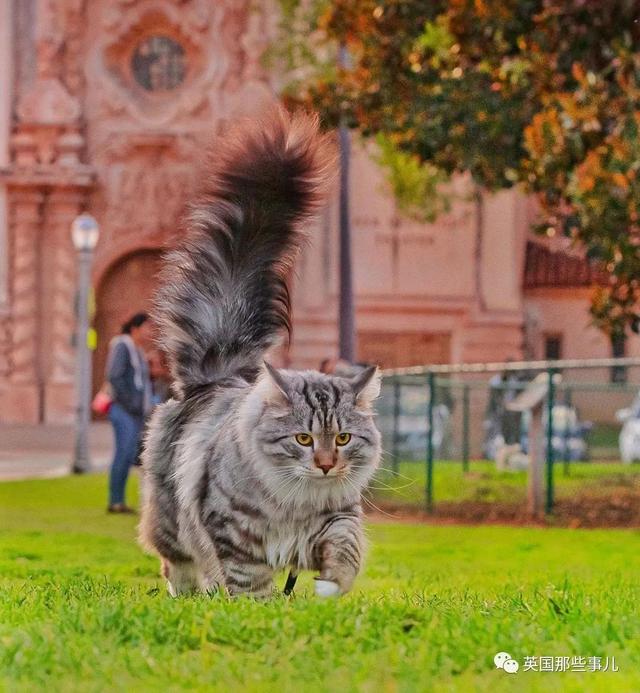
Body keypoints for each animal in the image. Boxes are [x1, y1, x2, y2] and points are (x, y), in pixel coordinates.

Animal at [139, 111, 380, 596]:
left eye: (343, 438)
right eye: (302, 439)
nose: (326, 465)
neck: (296, 502)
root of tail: (219, 372)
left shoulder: (336, 517)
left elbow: (347, 548)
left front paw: (330, 588)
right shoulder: (232, 530)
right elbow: (249, 582)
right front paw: (259, 609)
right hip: (172, 523)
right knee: (177, 564)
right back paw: (189, 595)